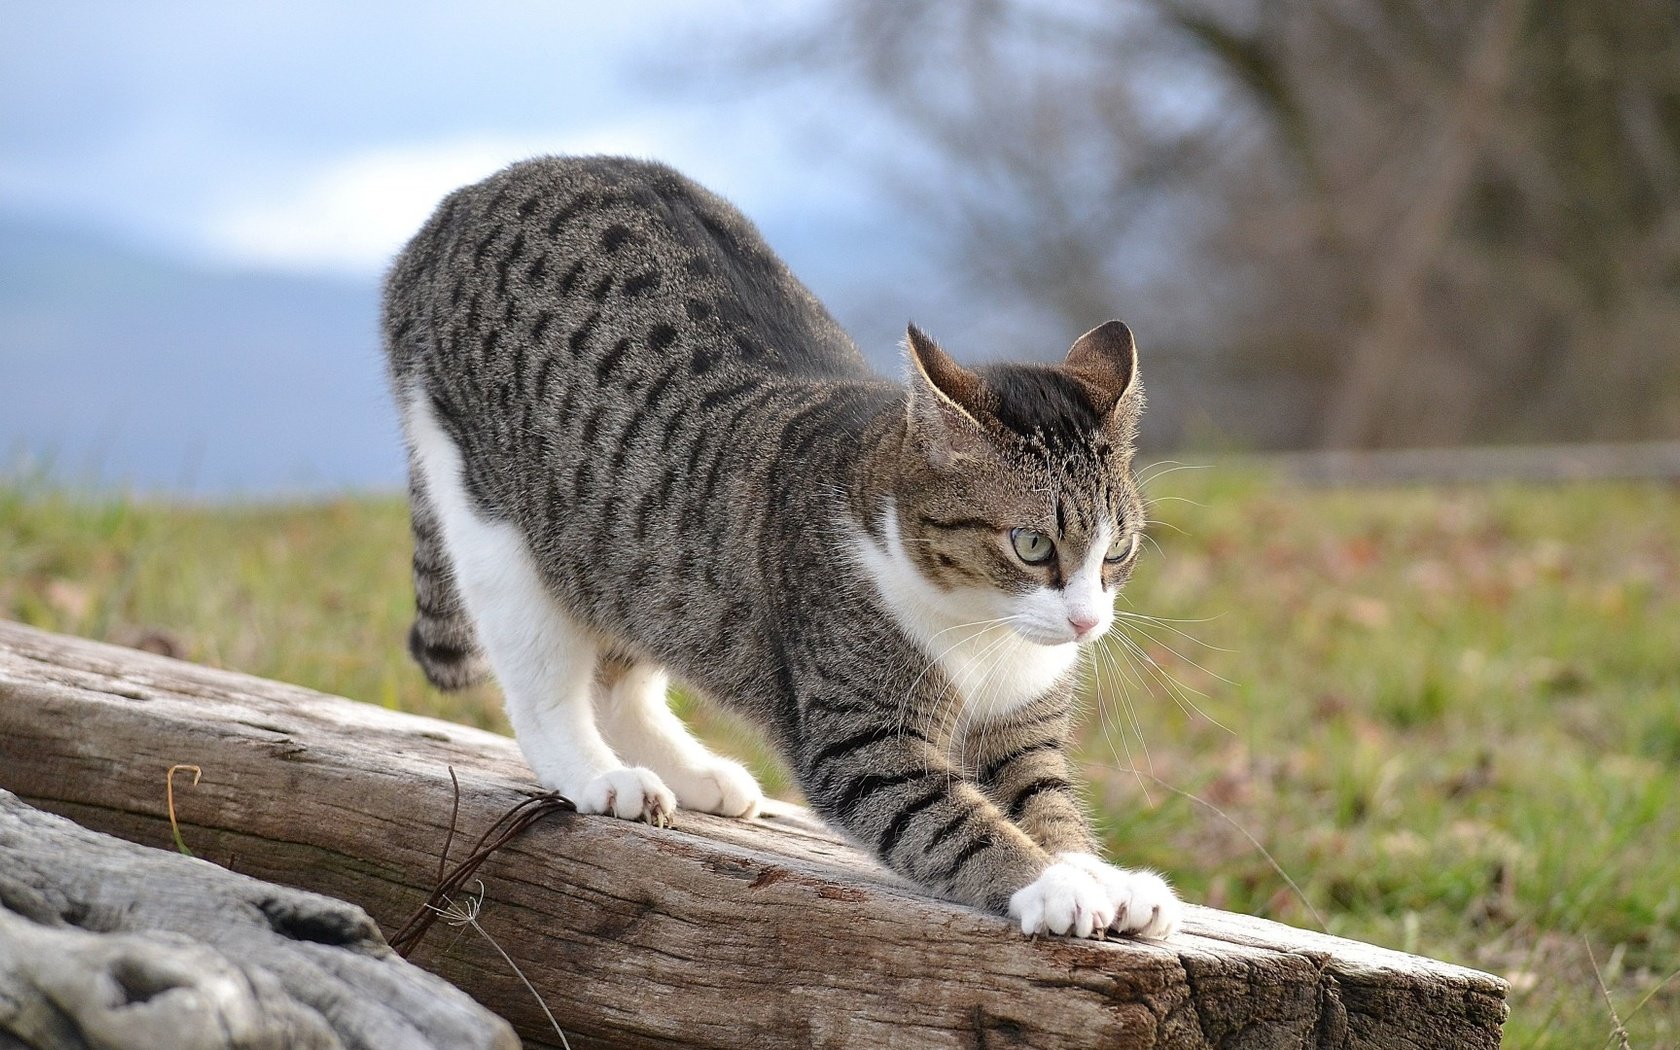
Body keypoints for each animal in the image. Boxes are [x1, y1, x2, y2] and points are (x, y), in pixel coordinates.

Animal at [384, 151, 1182, 940]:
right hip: (494, 517)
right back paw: (599, 776)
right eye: (1031, 544)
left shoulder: (1022, 735)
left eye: (1116, 553)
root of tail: (462, 202)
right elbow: (958, 826)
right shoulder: (863, 742)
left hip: (640, 555)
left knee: (625, 667)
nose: (1086, 622)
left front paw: (1103, 877)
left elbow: (1048, 806)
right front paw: (1054, 884)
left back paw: (696, 774)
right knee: (542, 682)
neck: (983, 631)